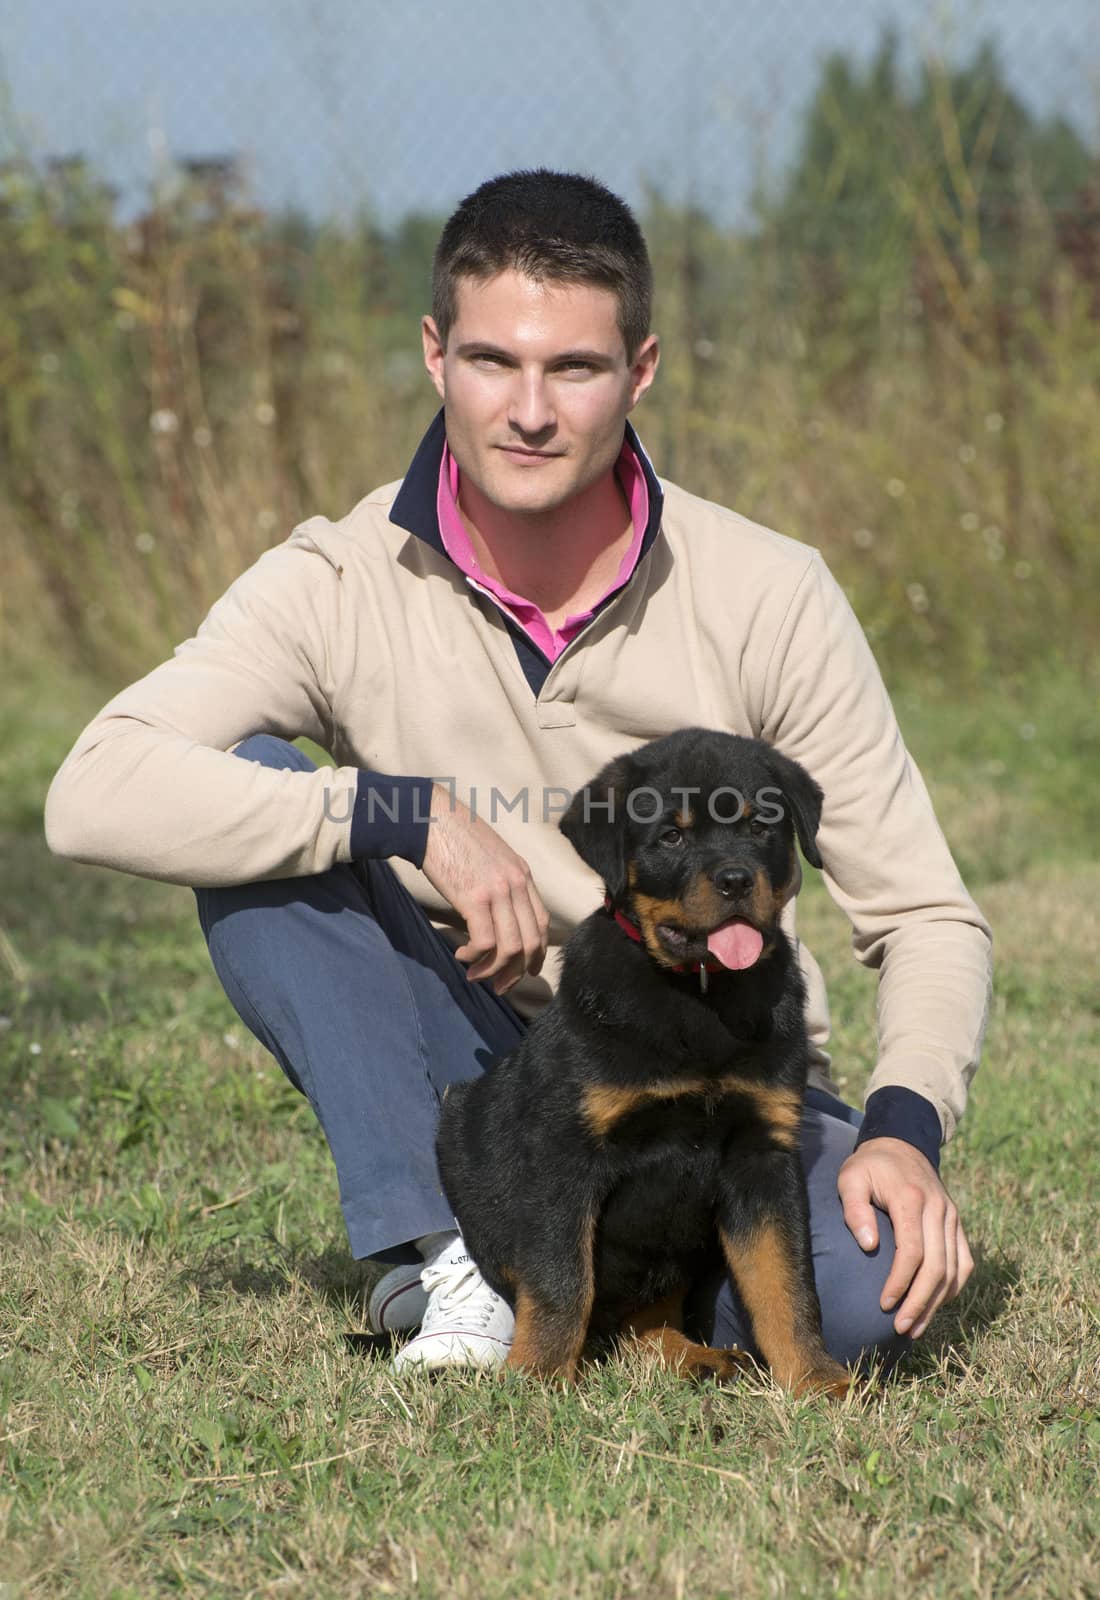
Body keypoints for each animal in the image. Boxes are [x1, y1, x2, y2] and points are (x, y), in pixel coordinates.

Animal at [434, 732, 844, 1395]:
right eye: (671, 837)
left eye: (761, 827)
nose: (735, 880)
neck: (702, 998)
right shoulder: (564, 1153)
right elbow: (560, 1279)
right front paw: (538, 1380)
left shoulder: (763, 1153)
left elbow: (785, 1280)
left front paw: (816, 1379)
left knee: (645, 1320)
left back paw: (698, 1357)